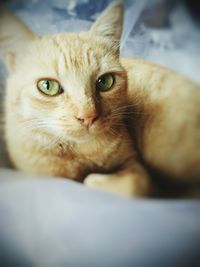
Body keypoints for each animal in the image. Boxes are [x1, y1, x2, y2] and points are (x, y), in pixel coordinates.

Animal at [0, 3, 200, 198]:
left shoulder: (136, 166)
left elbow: (127, 185)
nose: (88, 116)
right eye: (48, 86)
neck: (76, 151)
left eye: (104, 82)